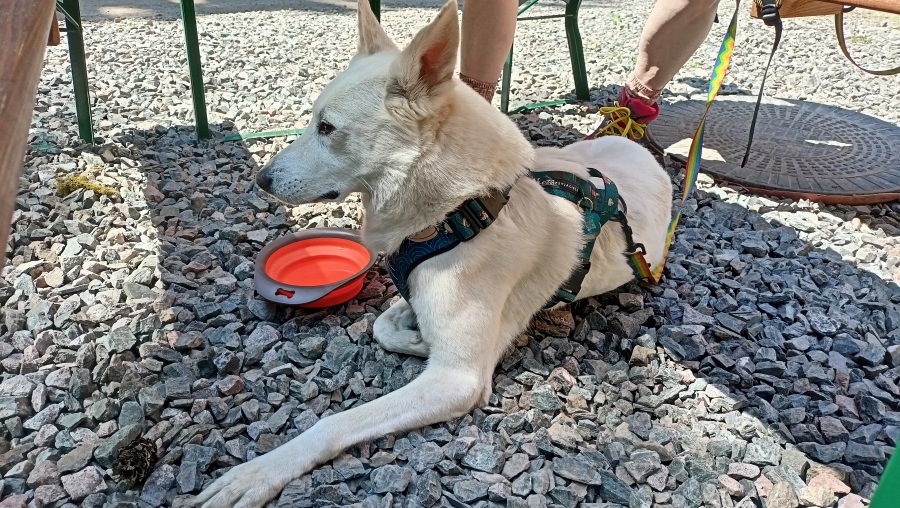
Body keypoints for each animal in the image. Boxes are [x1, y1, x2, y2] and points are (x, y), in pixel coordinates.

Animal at [193, 1, 672, 506]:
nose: (261, 179)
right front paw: (414, 336)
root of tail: (638, 147)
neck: (460, 211)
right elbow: (381, 324)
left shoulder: (455, 380)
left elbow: (334, 423)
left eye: (327, 128)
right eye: (310, 122)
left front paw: (258, 474)